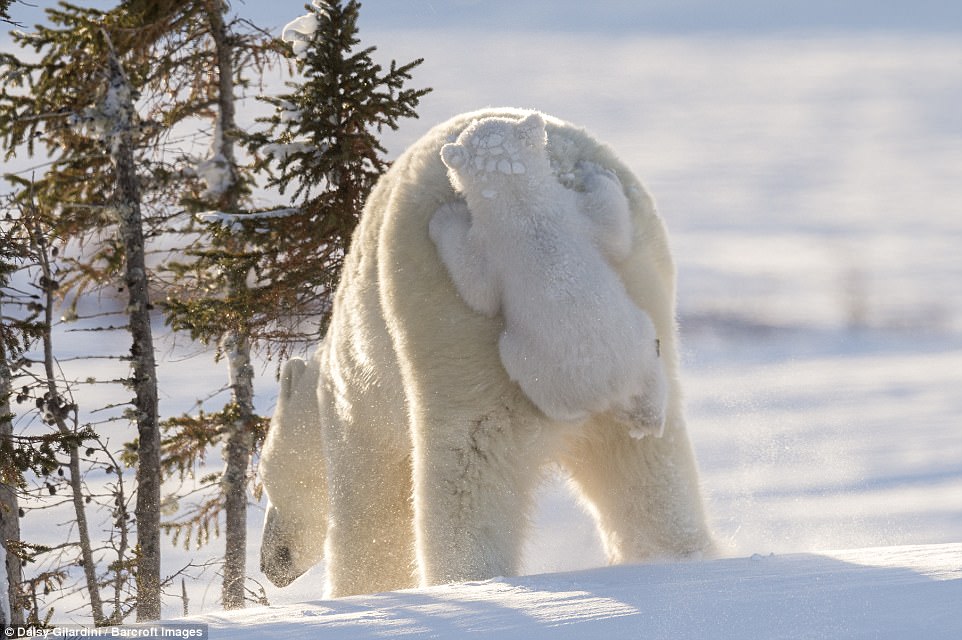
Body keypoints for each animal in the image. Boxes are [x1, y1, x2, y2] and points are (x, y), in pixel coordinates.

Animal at [430, 112, 664, 438]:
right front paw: (597, 173)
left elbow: (479, 292)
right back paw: (650, 420)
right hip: (636, 345)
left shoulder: (498, 242)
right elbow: (613, 230)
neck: (524, 207)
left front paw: (443, 217)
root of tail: (610, 390)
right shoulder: (570, 216)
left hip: (540, 363)